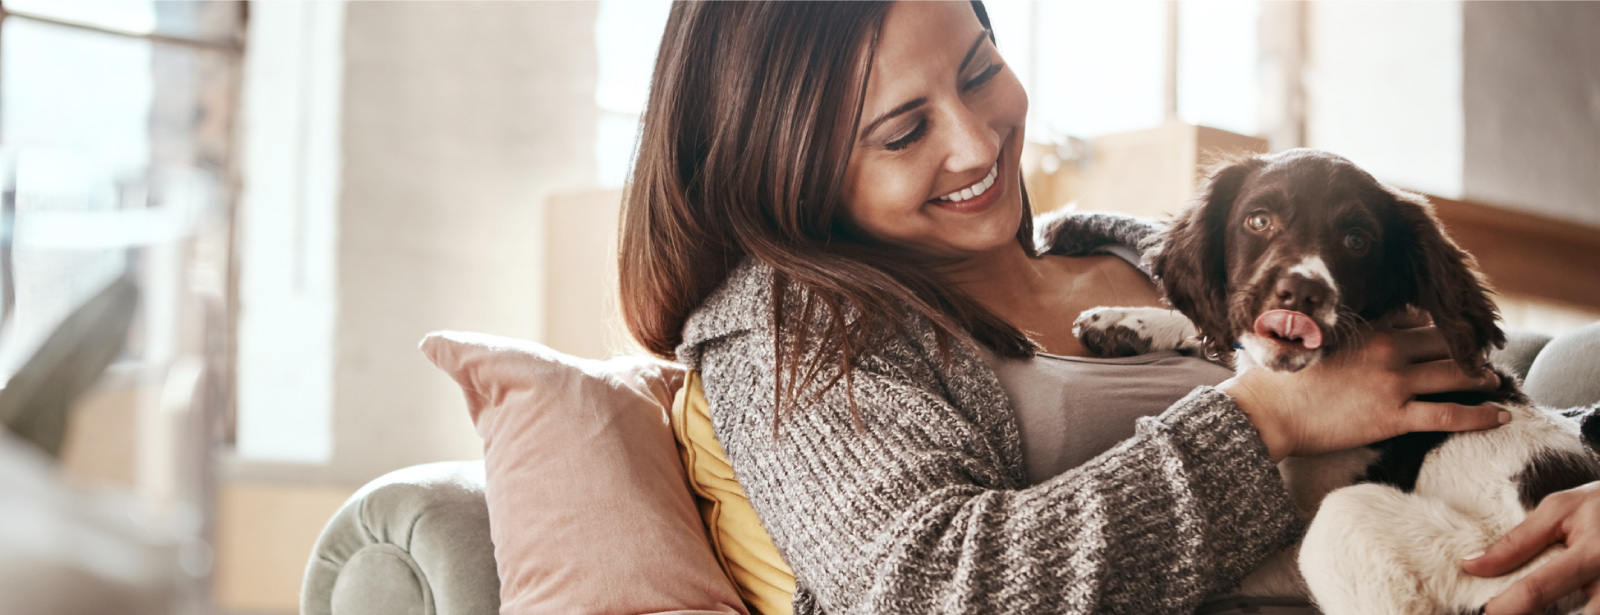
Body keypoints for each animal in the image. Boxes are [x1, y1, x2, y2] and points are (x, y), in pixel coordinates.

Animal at [1075, 148, 1600, 615]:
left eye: (1357, 241)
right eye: (1258, 221)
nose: (1301, 292)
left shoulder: (1298, 542)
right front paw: (1126, 321)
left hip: (1416, 543)